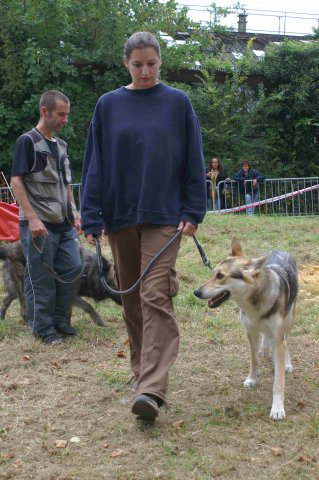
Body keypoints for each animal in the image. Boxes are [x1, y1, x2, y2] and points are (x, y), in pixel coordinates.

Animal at [195, 238, 300, 418]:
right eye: (212, 272)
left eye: (220, 276)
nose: (196, 292)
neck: (254, 306)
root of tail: (280, 250)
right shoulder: (250, 333)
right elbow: (254, 359)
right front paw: (252, 380)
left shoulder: (278, 338)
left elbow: (278, 381)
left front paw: (277, 408)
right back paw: (266, 350)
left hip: (288, 321)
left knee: (286, 341)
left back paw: (286, 363)